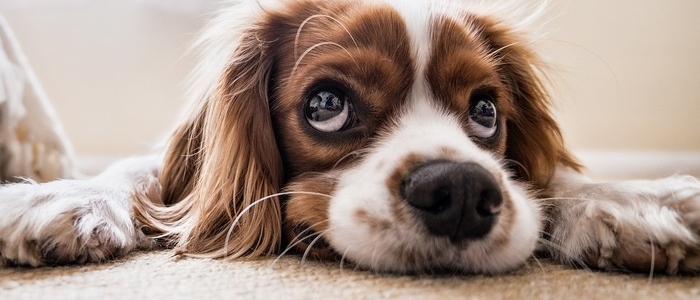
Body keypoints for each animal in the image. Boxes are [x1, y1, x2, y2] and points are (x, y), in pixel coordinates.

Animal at [1, 0, 700, 274]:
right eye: (326, 106)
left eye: (485, 112)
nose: (460, 191)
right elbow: (140, 174)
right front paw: (59, 197)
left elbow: (553, 178)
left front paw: (635, 202)